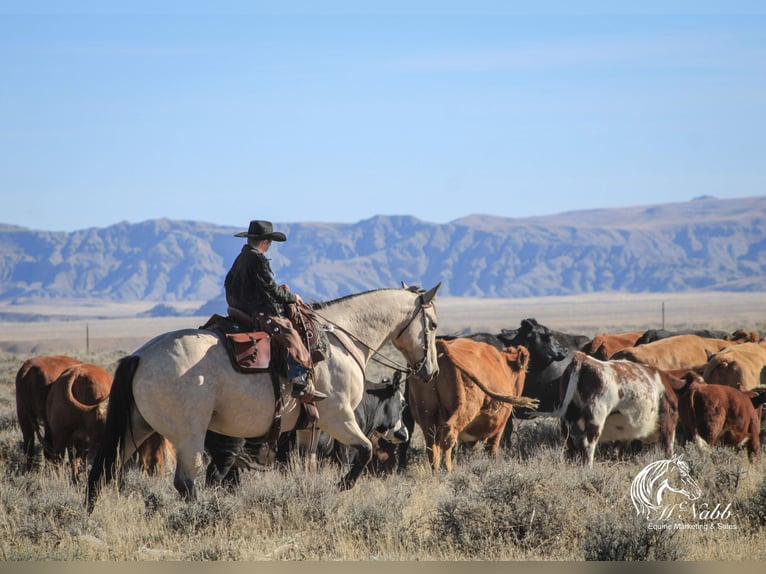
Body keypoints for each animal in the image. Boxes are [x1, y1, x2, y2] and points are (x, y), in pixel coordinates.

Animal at [87, 284, 440, 512]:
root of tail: (140, 356)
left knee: (104, 471)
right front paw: (340, 487)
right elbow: (365, 452)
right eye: (433, 324)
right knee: (186, 482)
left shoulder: (309, 429)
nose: (432, 370)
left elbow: (305, 466)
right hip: (188, 435)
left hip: (137, 426)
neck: (340, 340)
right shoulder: (338, 417)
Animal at [412, 340, 536, 474]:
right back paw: (448, 469)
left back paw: (435, 471)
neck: (503, 367)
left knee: (431, 443)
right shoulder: (501, 424)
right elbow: (492, 447)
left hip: (427, 414)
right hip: (465, 408)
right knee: (449, 432)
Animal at [536, 352, 680, 468]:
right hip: (596, 415)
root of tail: (583, 358)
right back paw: (588, 468)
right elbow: (669, 445)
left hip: (569, 416)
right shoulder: (668, 419)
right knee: (588, 443)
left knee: (570, 442)